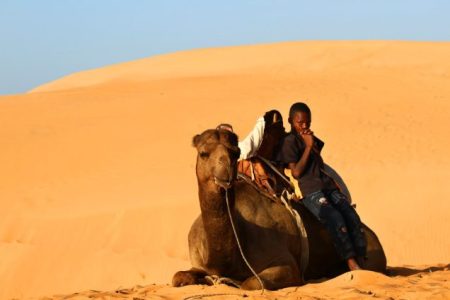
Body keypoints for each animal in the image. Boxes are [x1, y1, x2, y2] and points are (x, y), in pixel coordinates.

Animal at [172, 127, 386, 290]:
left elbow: (250, 283)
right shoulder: (199, 264)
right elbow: (178, 277)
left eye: (235, 153)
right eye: (203, 153)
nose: (225, 174)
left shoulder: (287, 265)